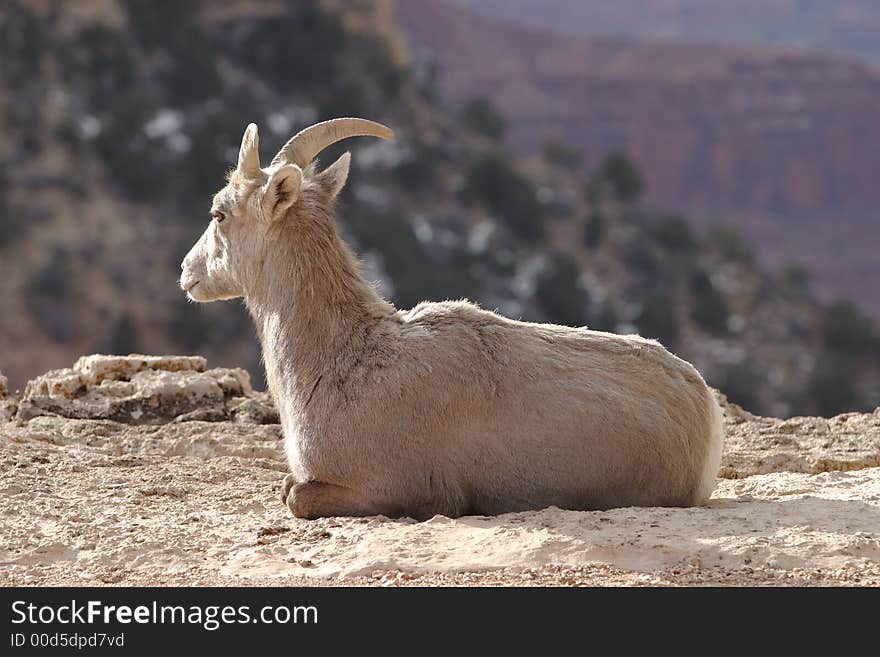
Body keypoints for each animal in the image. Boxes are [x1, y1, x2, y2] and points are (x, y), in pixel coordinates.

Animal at [179, 116, 720, 516]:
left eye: (218, 213)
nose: (187, 272)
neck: (345, 360)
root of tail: (706, 415)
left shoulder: (388, 489)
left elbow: (294, 496)